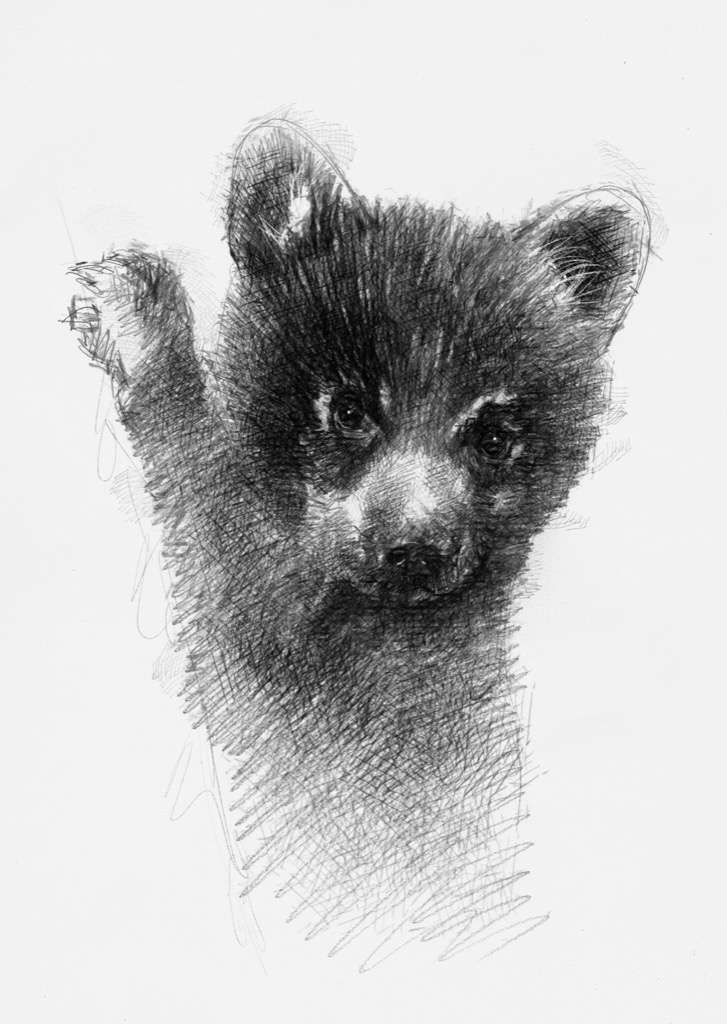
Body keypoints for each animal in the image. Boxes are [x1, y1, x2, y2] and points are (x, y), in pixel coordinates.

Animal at [68, 117, 650, 963]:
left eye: (493, 435)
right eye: (348, 408)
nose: (415, 550)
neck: (370, 620)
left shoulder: (294, 674)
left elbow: (209, 535)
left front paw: (138, 317)